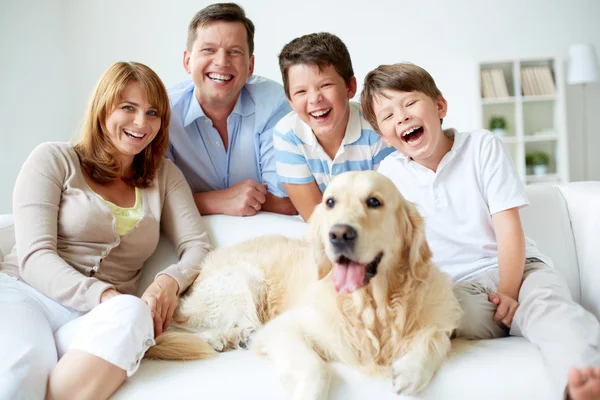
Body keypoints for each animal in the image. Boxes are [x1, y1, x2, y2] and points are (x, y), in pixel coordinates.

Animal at [146, 170, 460, 398]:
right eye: (330, 202)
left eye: (374, 201)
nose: (339, 234)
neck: (372, 307)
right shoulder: (286, 327)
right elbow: (316, 370)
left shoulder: (439, 319)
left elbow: (437, 337)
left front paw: (410, 372)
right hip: (243, 280)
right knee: (169, 328)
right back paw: (218, 338)